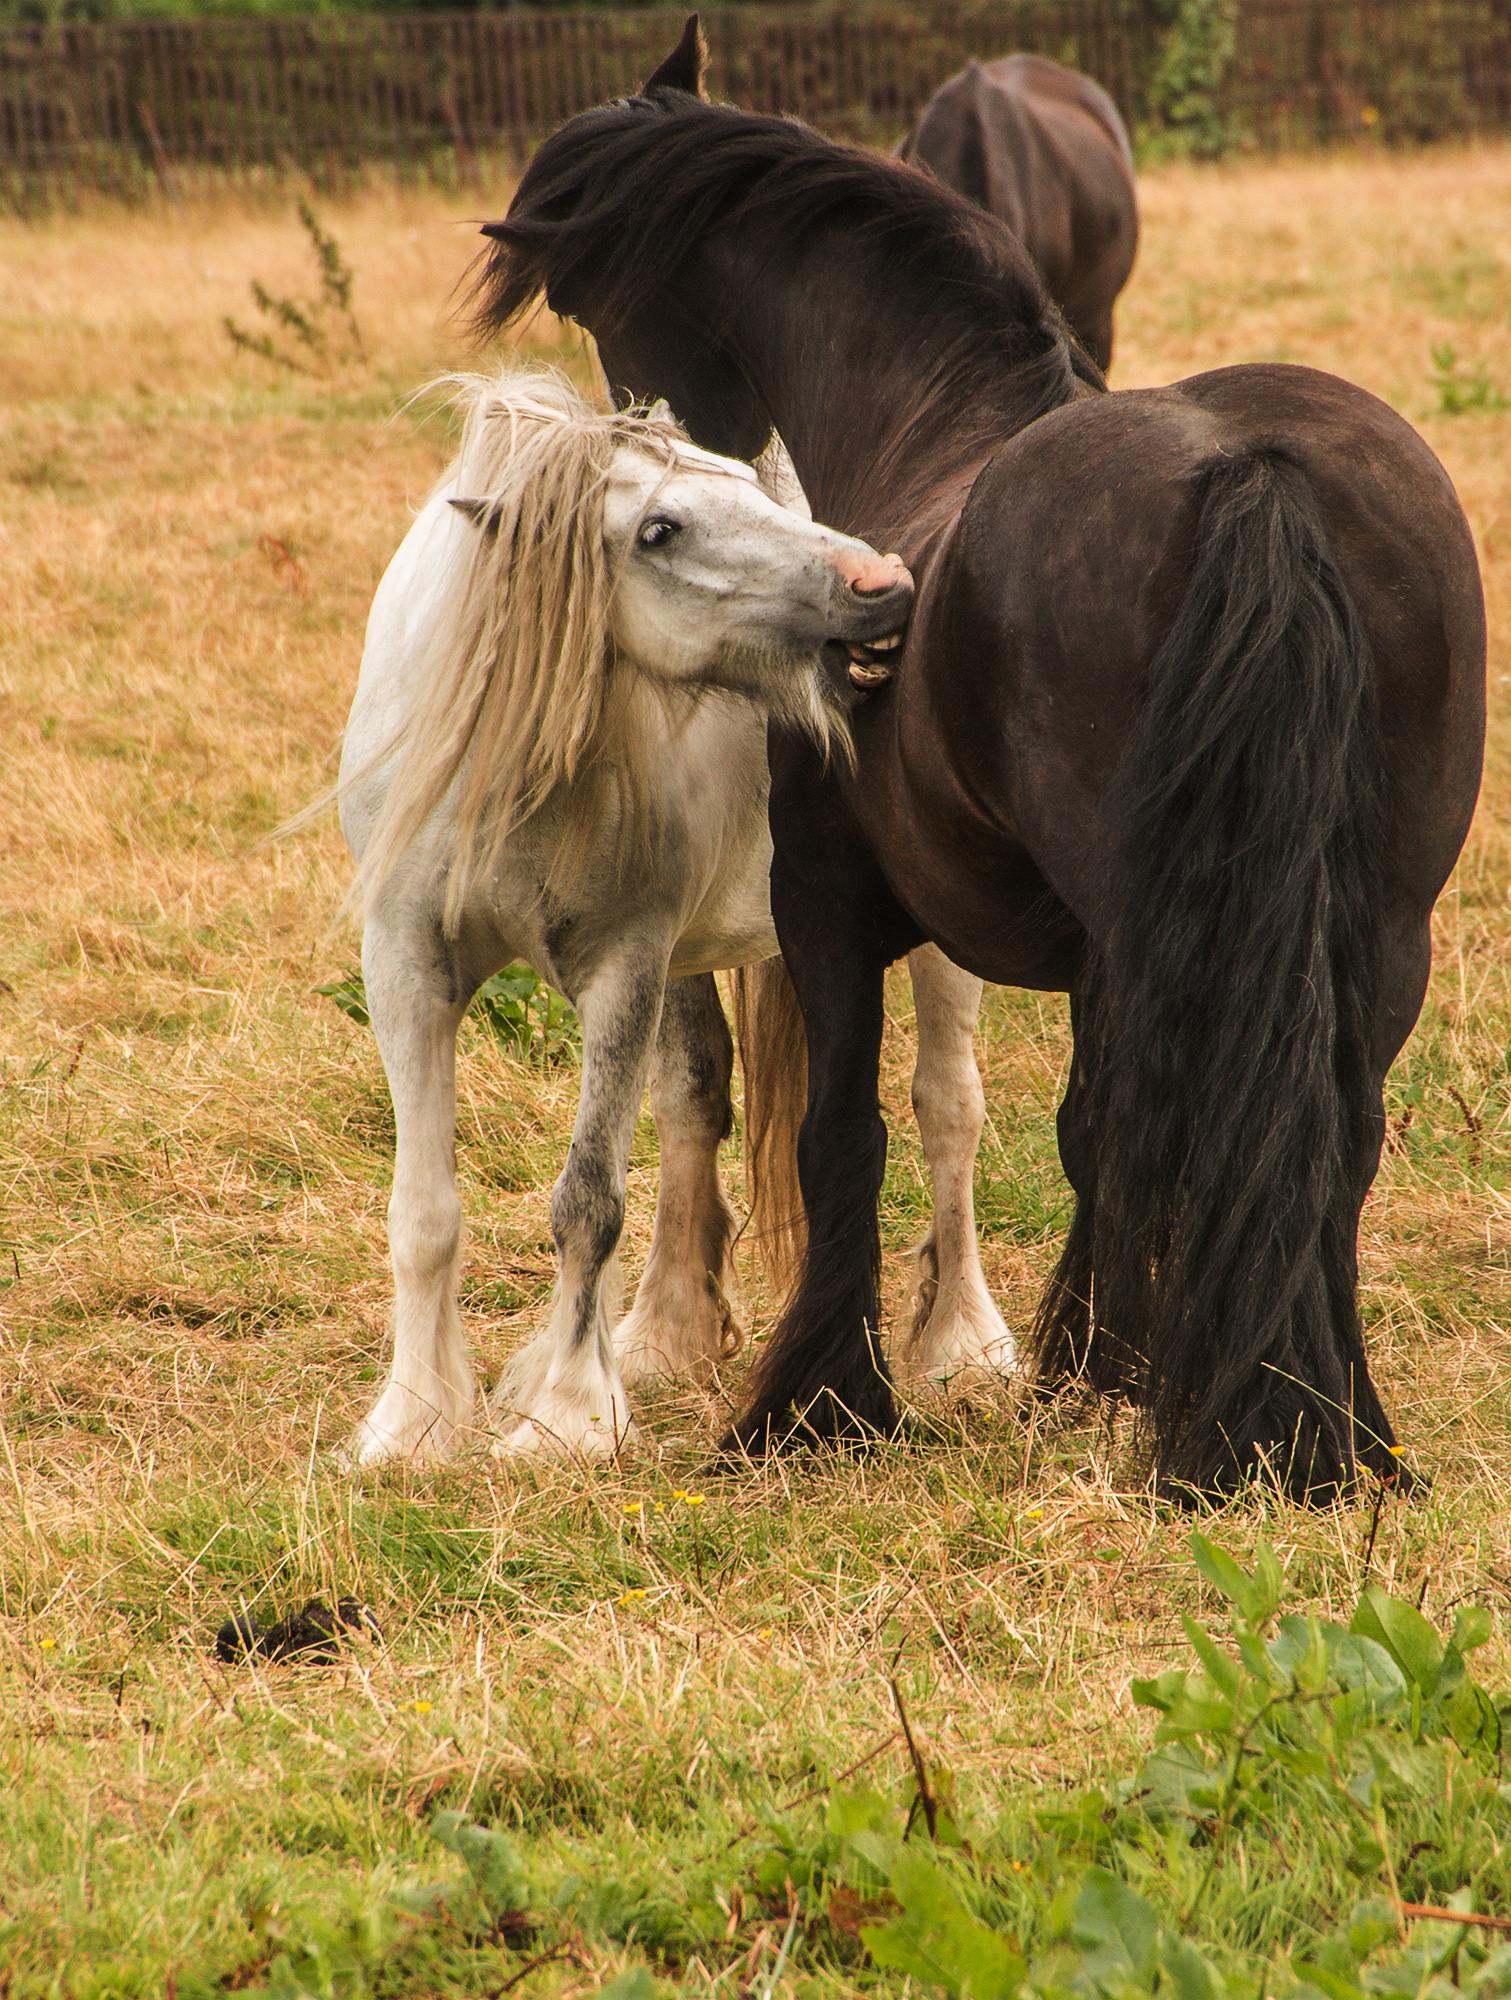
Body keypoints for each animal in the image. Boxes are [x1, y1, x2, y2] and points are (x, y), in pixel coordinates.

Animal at [335, 368, 1007, 1464]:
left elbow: (588, 1199)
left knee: (947, 1107)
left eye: (744, 483)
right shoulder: (405, 963)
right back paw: (662, 1336)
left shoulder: (622, 966)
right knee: (695, 1099)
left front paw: (564, 1419)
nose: (883, 583)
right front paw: (414, 1421)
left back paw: (966, 1345)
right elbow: (422, 1212)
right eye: (659, 529)